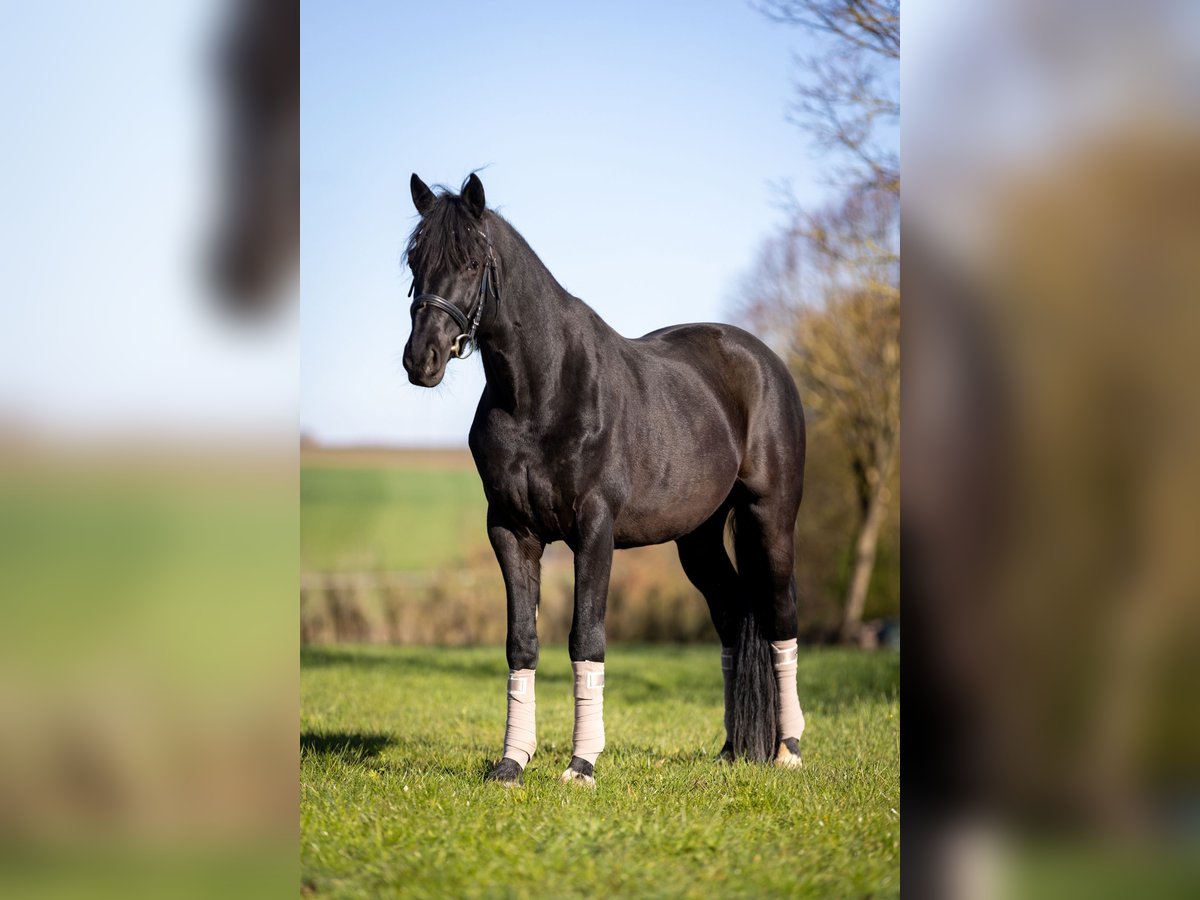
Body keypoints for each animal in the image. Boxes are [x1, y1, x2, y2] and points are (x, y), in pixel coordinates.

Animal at [403, 172, 806, 787]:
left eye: (471, 262)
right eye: (414, 260)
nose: (420, 359)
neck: (541, 391)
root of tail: (765, 362)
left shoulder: (594, 529)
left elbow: (585, 638)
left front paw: (581, 764)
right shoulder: (511, 532)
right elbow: (521, 643)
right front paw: (511, 763)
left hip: (771, 519)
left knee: (781, 616)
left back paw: (788, 750)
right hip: (698, 539)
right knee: (734, 616)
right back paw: (733, 750)